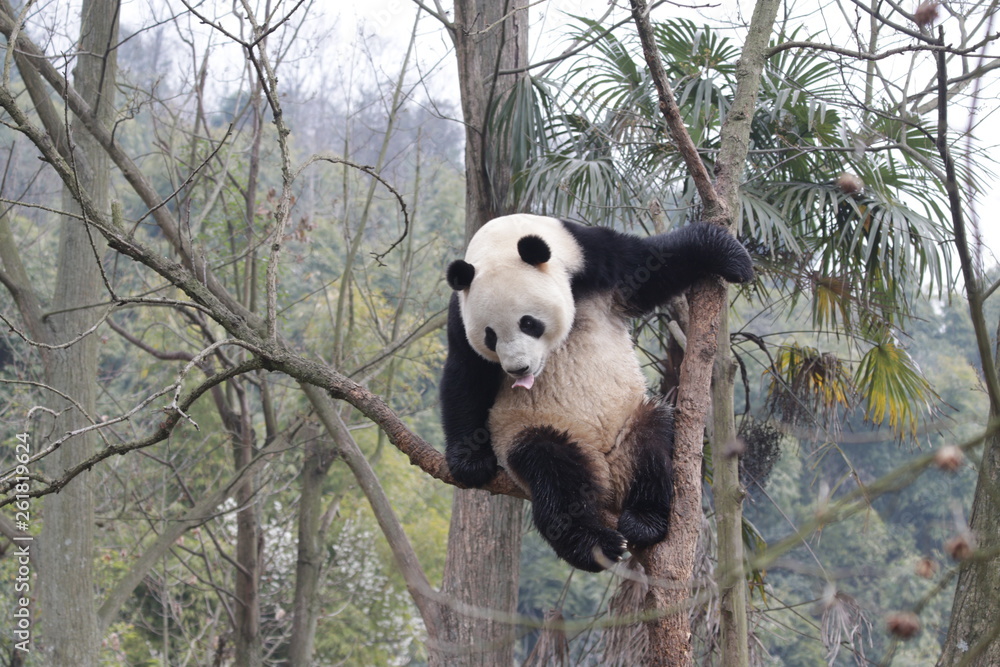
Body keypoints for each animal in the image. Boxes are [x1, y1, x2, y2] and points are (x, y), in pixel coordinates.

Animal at [440, 214, 754, 572]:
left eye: (528, 323)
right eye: (490, 336)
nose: (519, 369)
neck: (505, 238)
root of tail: (607, 473)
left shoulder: (593, 256)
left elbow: (654, 265)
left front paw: (731, 256)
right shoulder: (459, 316)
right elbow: (466, 376)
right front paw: (469, 463)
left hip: (631, 418)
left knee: (654, 444)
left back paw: (644, 520)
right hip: (527, 429)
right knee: (552, 472)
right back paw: (594, 544)